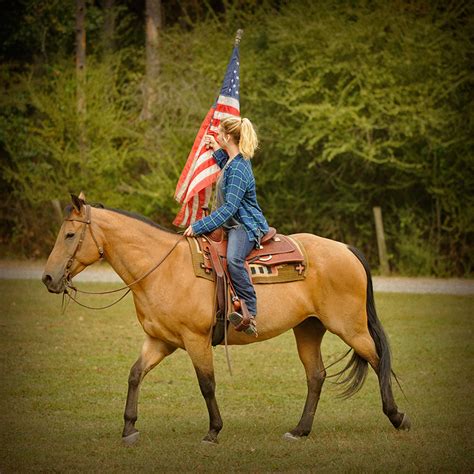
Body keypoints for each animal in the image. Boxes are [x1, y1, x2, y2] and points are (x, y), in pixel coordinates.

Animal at [41, 193, 412, 444]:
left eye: (70, 235)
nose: (47, 278)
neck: (163, 268)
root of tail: (346, 249)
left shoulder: (195, 339)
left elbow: (207, 384)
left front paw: (213, 431)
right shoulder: (160, 341)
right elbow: (135, 375)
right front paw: (129, 427)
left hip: (350, 327)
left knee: (378, 360)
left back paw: (398, 418)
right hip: (308, 328)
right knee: (316, 376)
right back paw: (300, 430)